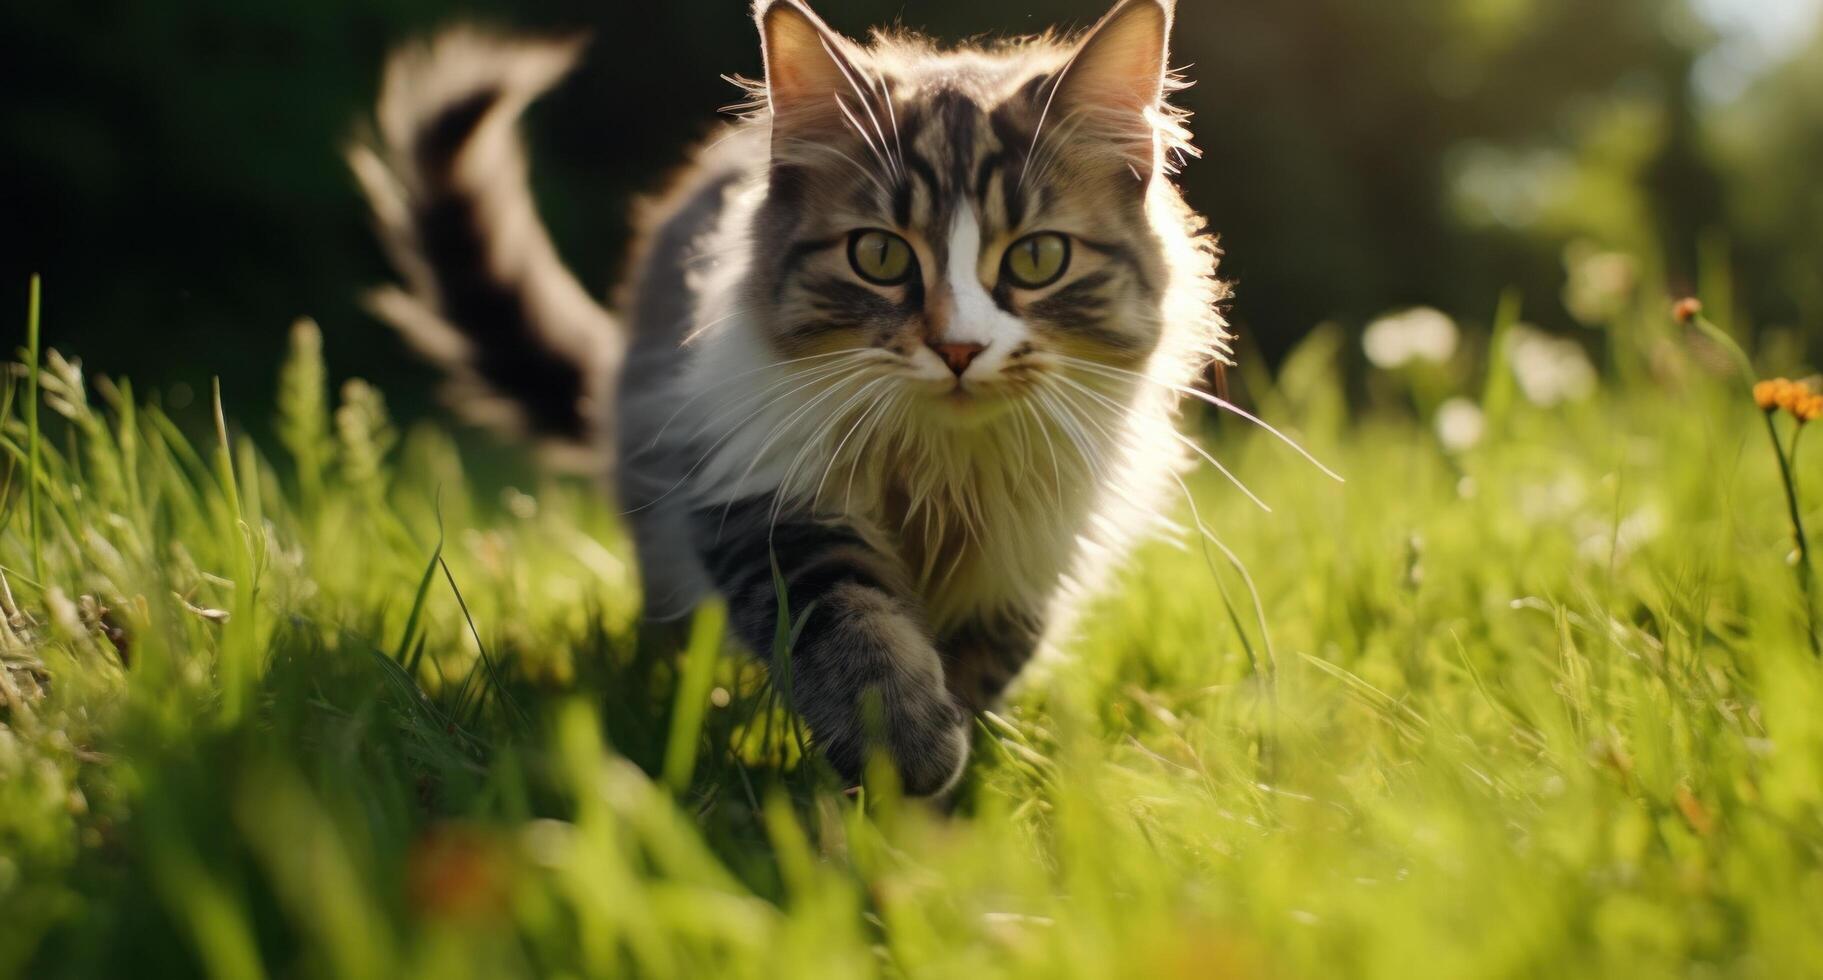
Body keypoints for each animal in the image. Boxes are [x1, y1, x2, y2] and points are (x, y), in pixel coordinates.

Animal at [348, 0, 1232, 790]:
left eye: (1038, 259)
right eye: (879, 256)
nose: (957, 349)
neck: (942, 469)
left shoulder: (1023, 558)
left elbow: (979, 667)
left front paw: (938, 802)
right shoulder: (762, 497)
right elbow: (849, 626)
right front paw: (902, 752)